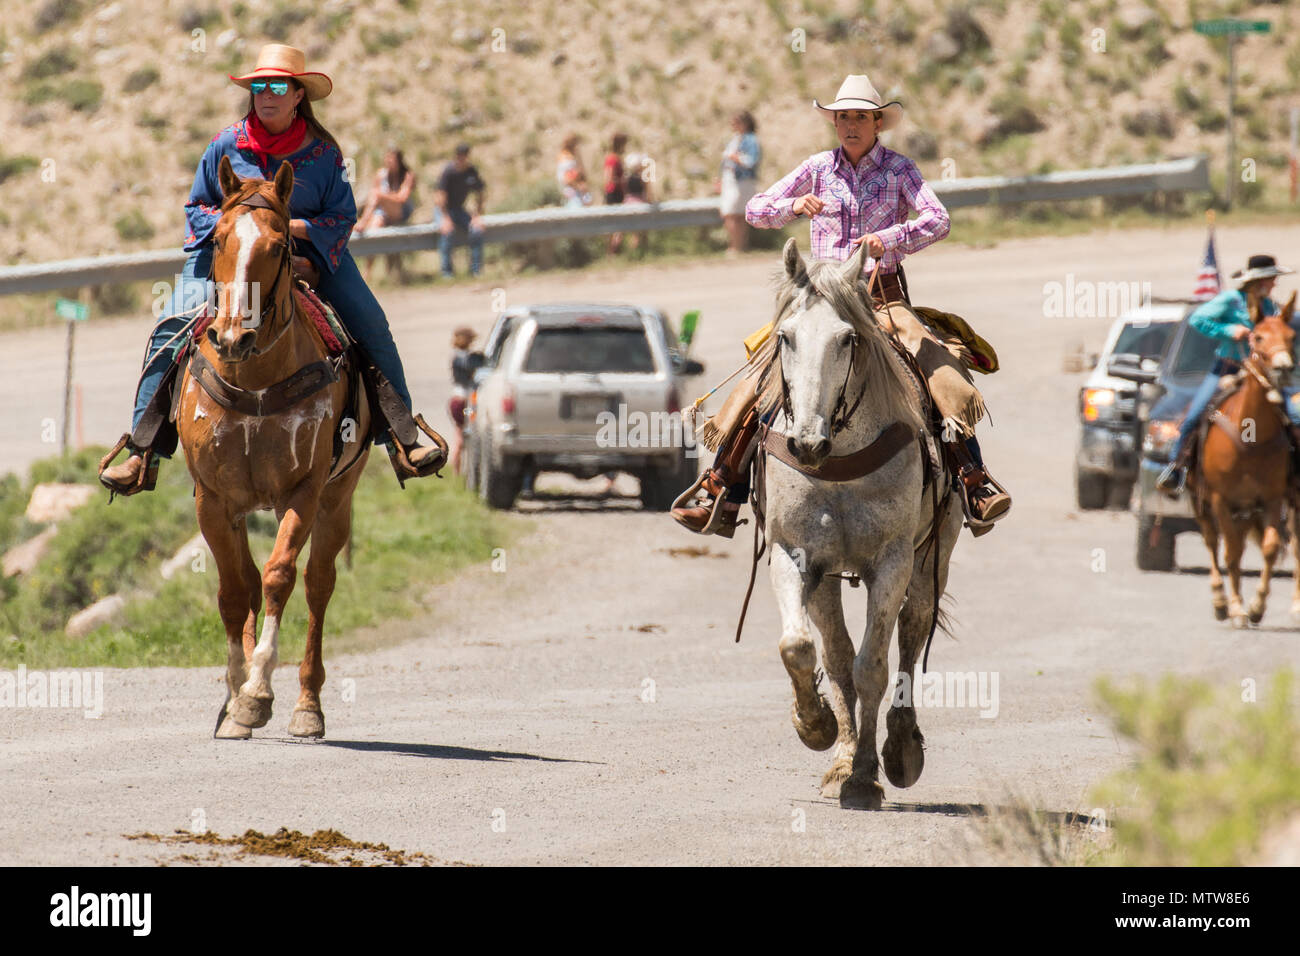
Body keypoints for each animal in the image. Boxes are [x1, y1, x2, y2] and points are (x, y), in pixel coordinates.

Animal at [176, 155, 371, 740]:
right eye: (218, 238)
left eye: (281, 244)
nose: (232, 337)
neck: (256, 381)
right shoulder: (214, 500)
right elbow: (233, 591)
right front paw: (235, 696)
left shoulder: (303, 493)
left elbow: (280, 578)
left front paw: (258, 692)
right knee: (247, 582)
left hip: (337, 500)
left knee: (318, 584)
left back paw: (308, 706)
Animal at [761, 238, 964, 810]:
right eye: (785, 337)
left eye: (848, 338)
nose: (807, 442)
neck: (839, 459)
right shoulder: (793, 555)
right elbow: (802, 648)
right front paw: (817, 729)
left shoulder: (892, 564)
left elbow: (872, 667)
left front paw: (866, 775)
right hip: (829, 578)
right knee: (835, 651)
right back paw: (839, 754)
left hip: (933, 555)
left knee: (911, 631)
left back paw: (900, 747)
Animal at [1190, 292, 1298, 627]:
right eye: (1258, 336)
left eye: (1291, 336)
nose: (1284, 368)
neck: (1250, 437)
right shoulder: (1220, 499)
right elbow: (1230, 554)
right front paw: (1237, 608)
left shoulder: (1273, 498)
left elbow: (1270, 548)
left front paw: (1257, 606)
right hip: (1204, 503)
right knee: (1214, 543)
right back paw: (1220, 600)